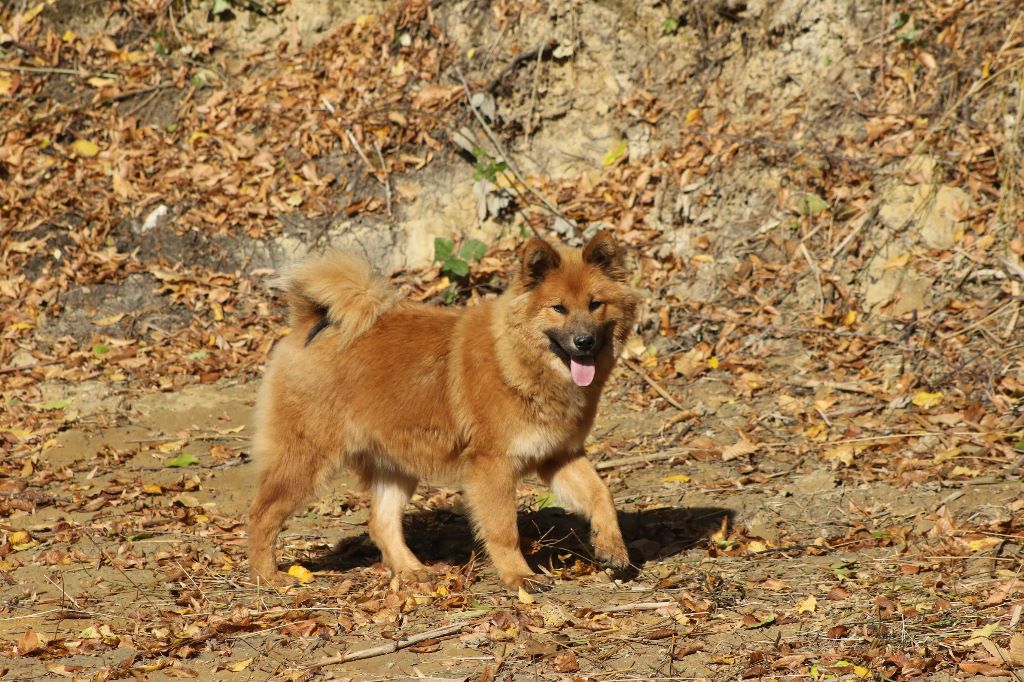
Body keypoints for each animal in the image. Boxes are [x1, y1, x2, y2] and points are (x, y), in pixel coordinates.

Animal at [245, 229, 638, 589]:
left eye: (595, 304)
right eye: (558, 308)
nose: (584, 342)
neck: (517, 361)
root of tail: (311, 323)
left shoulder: (559, 455)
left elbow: (602, 495)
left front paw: (612, 548)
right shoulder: (492, 465)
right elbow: (504, 529)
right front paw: (519, 576)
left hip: (396, 466)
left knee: (381, 523)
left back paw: (413, 571)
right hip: (306, 460)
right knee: (262, 515)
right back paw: (268, 577)